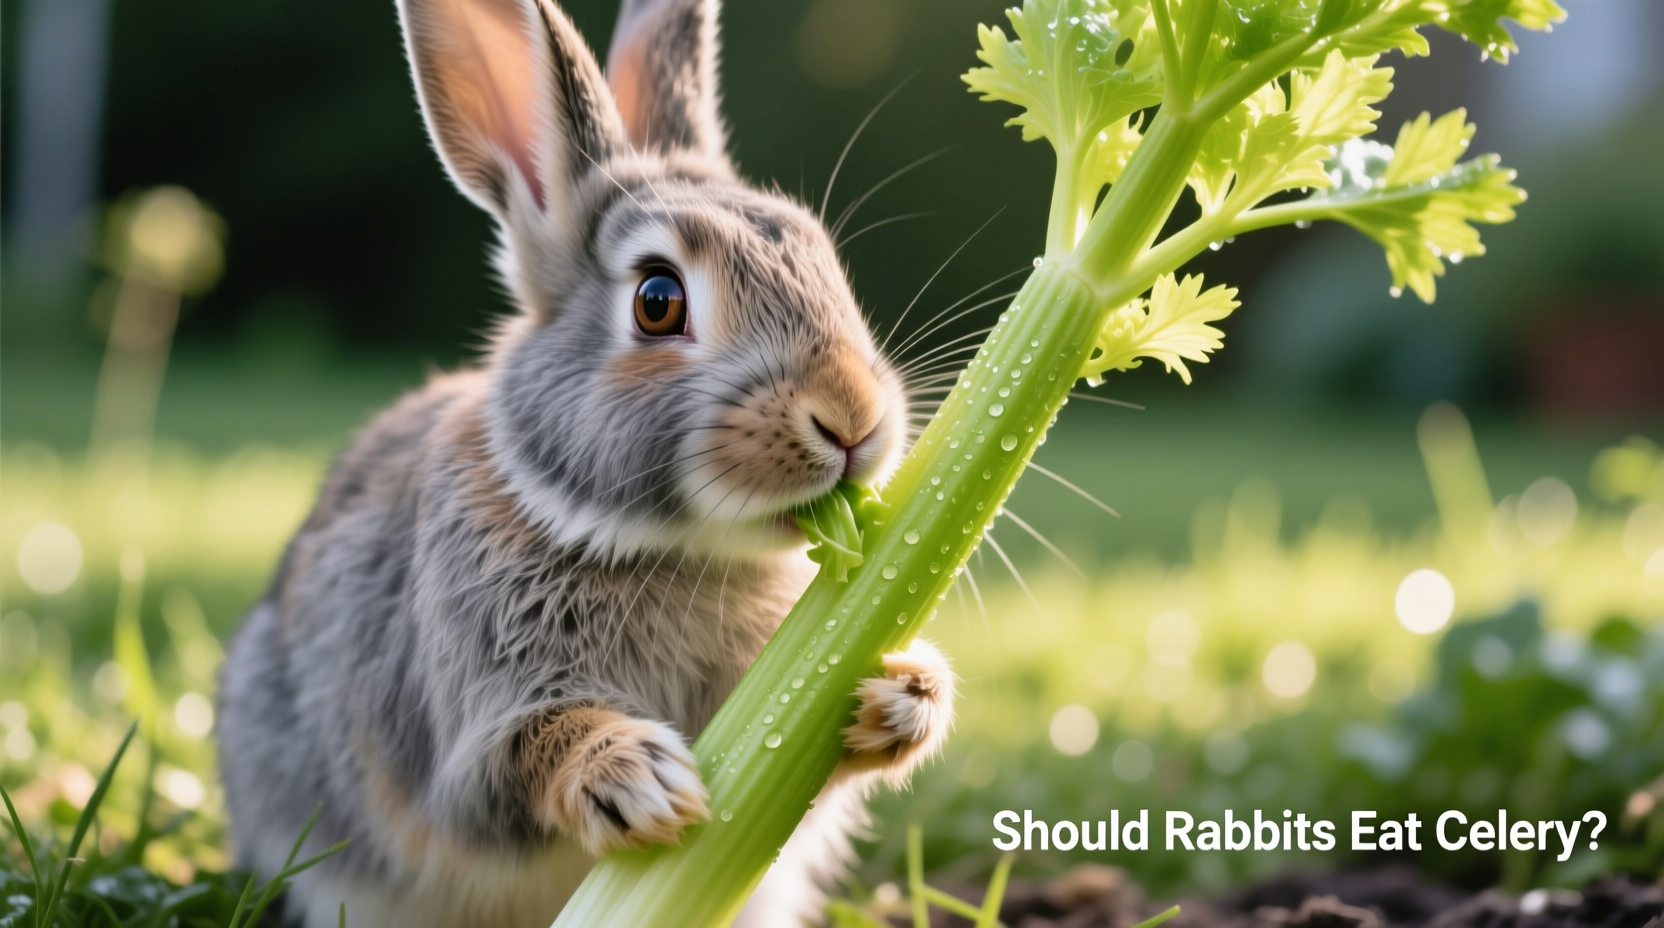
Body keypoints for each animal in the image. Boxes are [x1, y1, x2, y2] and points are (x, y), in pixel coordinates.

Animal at [214, 0, 956, 926]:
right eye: (657, 300)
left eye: (823, 260)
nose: (853, 419)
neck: (672, 549)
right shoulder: (466, 717)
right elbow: (509, 760)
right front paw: (634, 777)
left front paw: (906, 694)